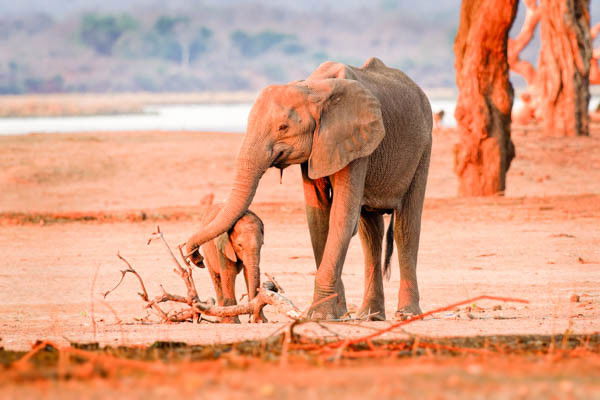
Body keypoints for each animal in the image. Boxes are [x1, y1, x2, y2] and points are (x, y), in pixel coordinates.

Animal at [186, 57, 432, 320]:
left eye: (283, 127)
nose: (196, 258)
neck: (313, 88)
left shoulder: (352, 141)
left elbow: (341, 216)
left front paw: (320, 316)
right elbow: (317, 217)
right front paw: (335, 314)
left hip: (424, 144)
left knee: (406, 226)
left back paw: (407, 314)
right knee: (371, 232)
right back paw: (371, 315)